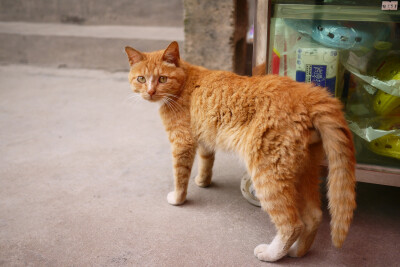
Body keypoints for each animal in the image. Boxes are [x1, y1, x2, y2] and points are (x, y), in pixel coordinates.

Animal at [124, 42, 356, 264]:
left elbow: (180, 176)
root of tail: (309, 93)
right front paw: (203, 180)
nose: (150, 92)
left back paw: (271, 254)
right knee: (314, 217)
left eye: (162, 78)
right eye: (141, 79)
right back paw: (298, 252)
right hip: (303, 172)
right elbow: (207, 160)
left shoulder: (182, 143)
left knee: (292, 224)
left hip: (268, 175)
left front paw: (178, 198)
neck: (185, 81)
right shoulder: (205, 138)